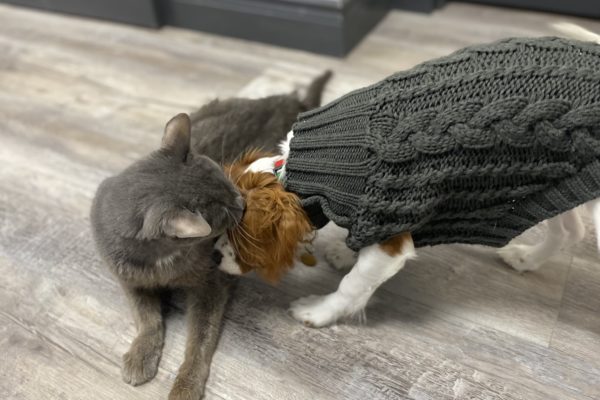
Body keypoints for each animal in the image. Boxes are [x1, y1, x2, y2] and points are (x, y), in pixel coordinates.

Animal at [89, 72, 332, 400]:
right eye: (226, 211)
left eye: (227, 181)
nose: (243, 201)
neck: (163, 265)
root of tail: (291, 101)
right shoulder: (130, 281)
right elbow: (148, 319)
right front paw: (140, 358)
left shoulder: (211, 284)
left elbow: (200, 339)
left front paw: (185, 386)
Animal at [218, 36, 600, 326]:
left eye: (239, 239)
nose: (214, 257)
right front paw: (345, 251)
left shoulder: (391, 236)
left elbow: (353, 285)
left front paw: (321, 311)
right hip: (550, 179)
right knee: (571, 230)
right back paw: (527, 259)